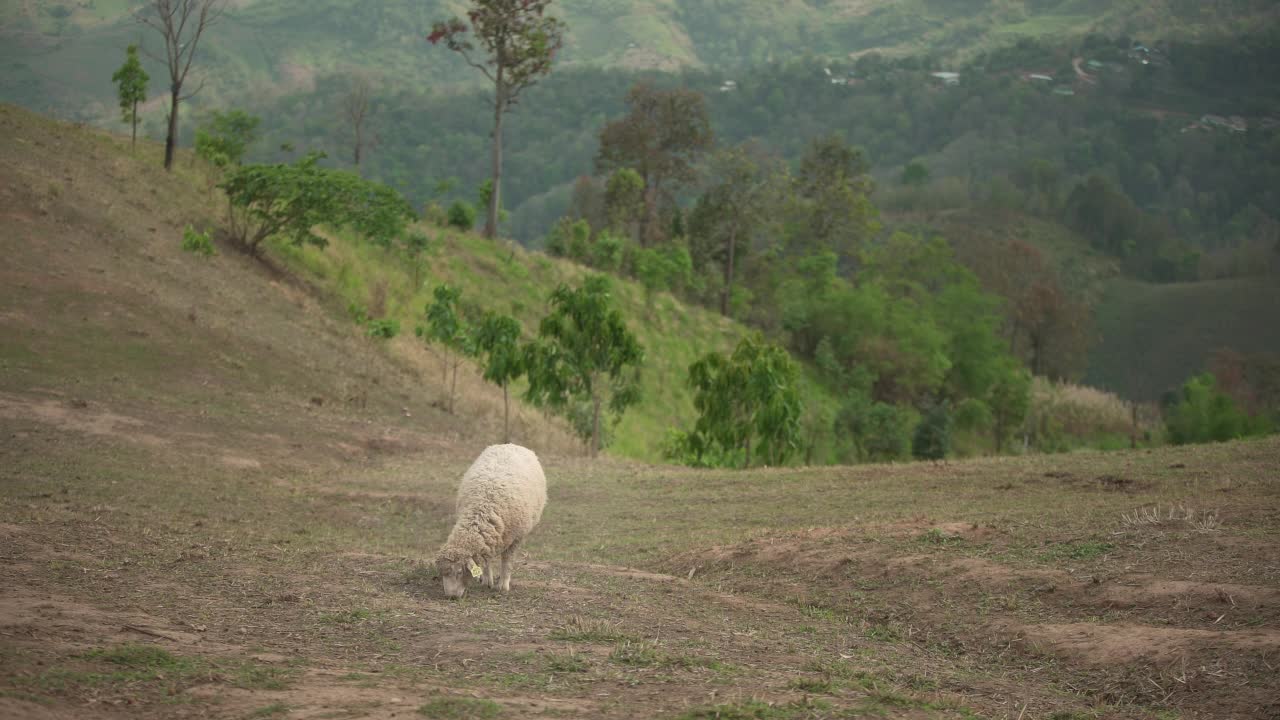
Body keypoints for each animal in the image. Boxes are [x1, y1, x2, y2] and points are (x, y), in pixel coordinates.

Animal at [435, 440, 545, 597]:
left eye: (459, 572)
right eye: (443, 574)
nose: (451, 597)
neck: (483, 508)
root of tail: (510, 444)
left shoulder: (515, 539)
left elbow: (507, 562)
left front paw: (503, 585)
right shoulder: (488, 540)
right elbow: (486, 561)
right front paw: (487, 581)